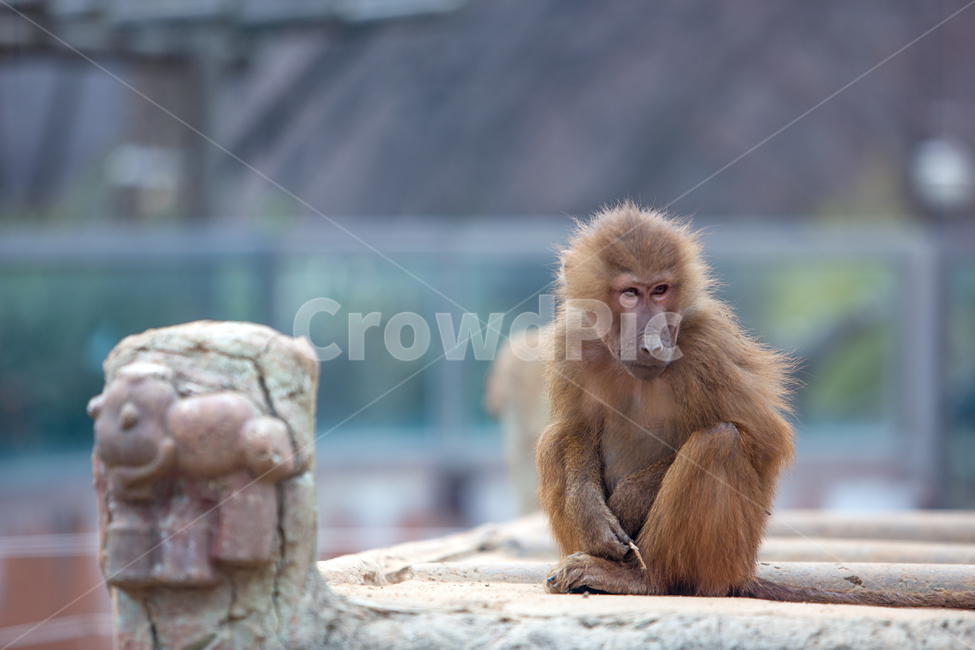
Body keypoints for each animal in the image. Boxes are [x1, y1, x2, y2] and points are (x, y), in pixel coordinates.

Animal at [537, 202, 975, 609]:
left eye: (660, 290)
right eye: (630, 293)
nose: (655, 340)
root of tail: (741, 573)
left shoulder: (707, 349)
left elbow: (763, 441)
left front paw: (627, 502)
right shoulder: (570, 341)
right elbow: (574, 430)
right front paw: (591, 514)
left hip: (729, 555)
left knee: (720, 442)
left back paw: (646, 579)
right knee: (553, 439)